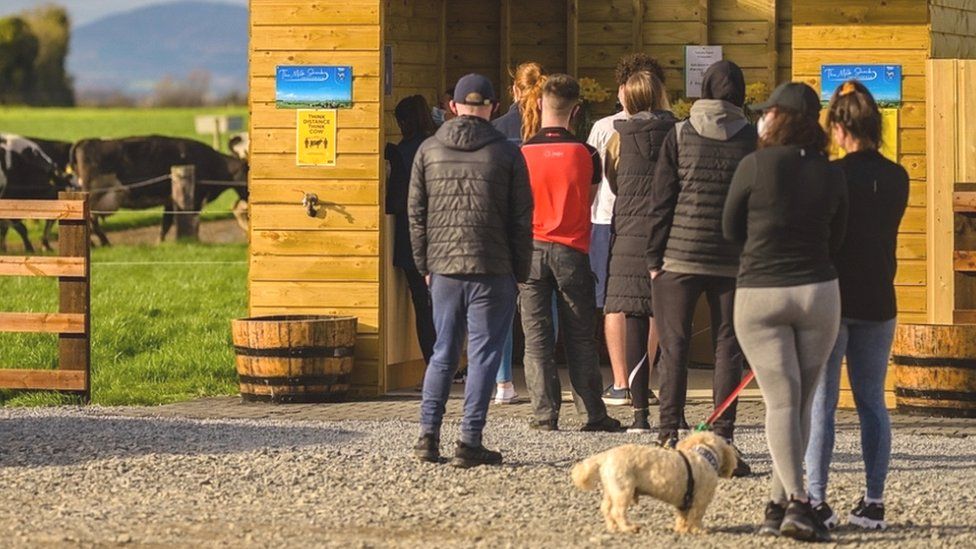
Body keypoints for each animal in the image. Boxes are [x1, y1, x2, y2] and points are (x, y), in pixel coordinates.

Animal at [70, 135, 248, 244]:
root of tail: (86, 141)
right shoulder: (195, 199)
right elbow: (191, 222)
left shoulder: (170, 201)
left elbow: (166, 223)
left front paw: (160, 242)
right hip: (95, 194)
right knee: (91, 219)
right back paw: (104, 243)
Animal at [572, 430, 732, 532]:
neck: (704, 455)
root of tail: (605, 456)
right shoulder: (699, 500)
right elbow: (696, 516)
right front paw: (698, 530)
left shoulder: (683, 503)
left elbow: (683, 517)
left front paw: (681, 529)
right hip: (624, 490)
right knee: (617, 512)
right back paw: (629, 528)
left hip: (612, 490)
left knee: (606, 509)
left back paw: (613, 527)